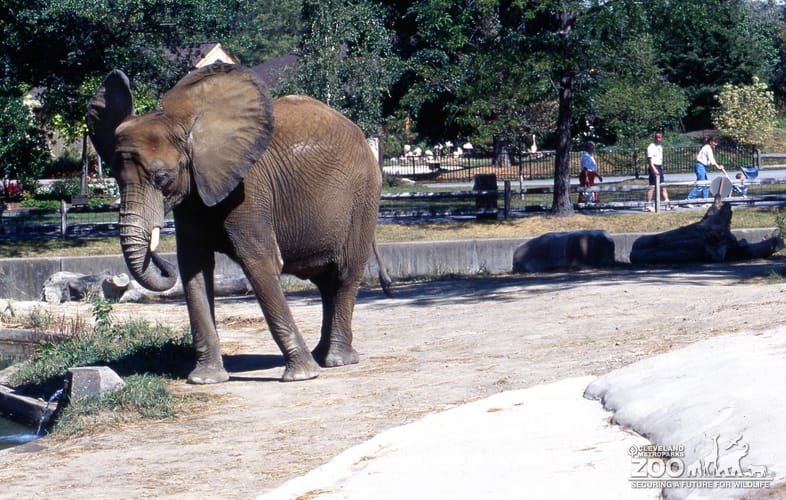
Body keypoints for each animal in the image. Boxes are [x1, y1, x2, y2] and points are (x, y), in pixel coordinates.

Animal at [86, 62, 391, 384]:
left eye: (162, 178)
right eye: (117, 180)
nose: (155, 251)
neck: (189, 128)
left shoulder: (248, 191)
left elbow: (260, 262)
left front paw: (301, 376)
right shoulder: (193, 195)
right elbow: (194, 268)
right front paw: (205, 379)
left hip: (363, 197)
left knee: (345, 274)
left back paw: (335, 361)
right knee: (326, 282)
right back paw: (322, 356)